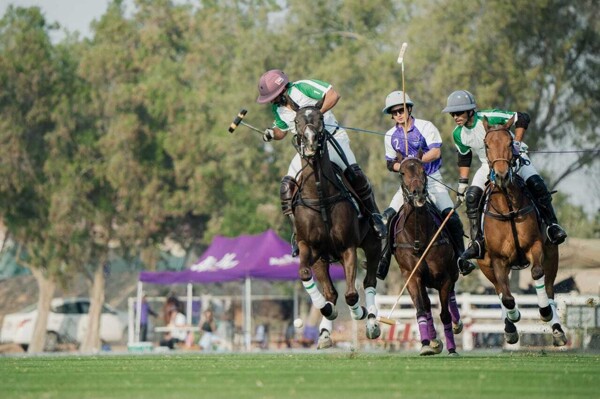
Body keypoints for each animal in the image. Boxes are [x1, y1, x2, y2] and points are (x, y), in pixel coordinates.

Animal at [290, 101, 380, 348]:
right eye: (297, 121)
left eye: (320, 118)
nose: (311, 142)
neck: (320, 195)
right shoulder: (308, 246)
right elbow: (304, 273)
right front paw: (328, 310)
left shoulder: (348, 247)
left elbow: (351, 294)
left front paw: (360, 313)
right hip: (323, 258)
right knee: (330, 292)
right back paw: (325, 332)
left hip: (372, 245)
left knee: (369, 282)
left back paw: (371, 322)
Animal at [390, 156, 464, 356]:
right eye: (402, 172)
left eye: (423, 170)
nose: (418, 195)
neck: (420, 236)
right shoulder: (412, 276)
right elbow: (421, 309)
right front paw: (425, 344)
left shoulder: (444, 276)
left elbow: (445, 314)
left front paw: (452, 348)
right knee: (428, 304)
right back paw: (433, 341)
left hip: (451, 272)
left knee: (451, 299)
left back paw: (457, 326)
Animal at [478, 117, 568, 348]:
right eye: (487, 145)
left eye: (510, 143)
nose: (501, 175)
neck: (508, 208)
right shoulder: (498, 260)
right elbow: (507, 297)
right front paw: (514, 317)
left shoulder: (535, 247)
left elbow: (536, 274)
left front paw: (544, 312)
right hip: (485, 265)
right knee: (499, 291)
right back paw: (510, 327)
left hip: (552, 255)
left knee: (549, 287)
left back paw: (556, 329)